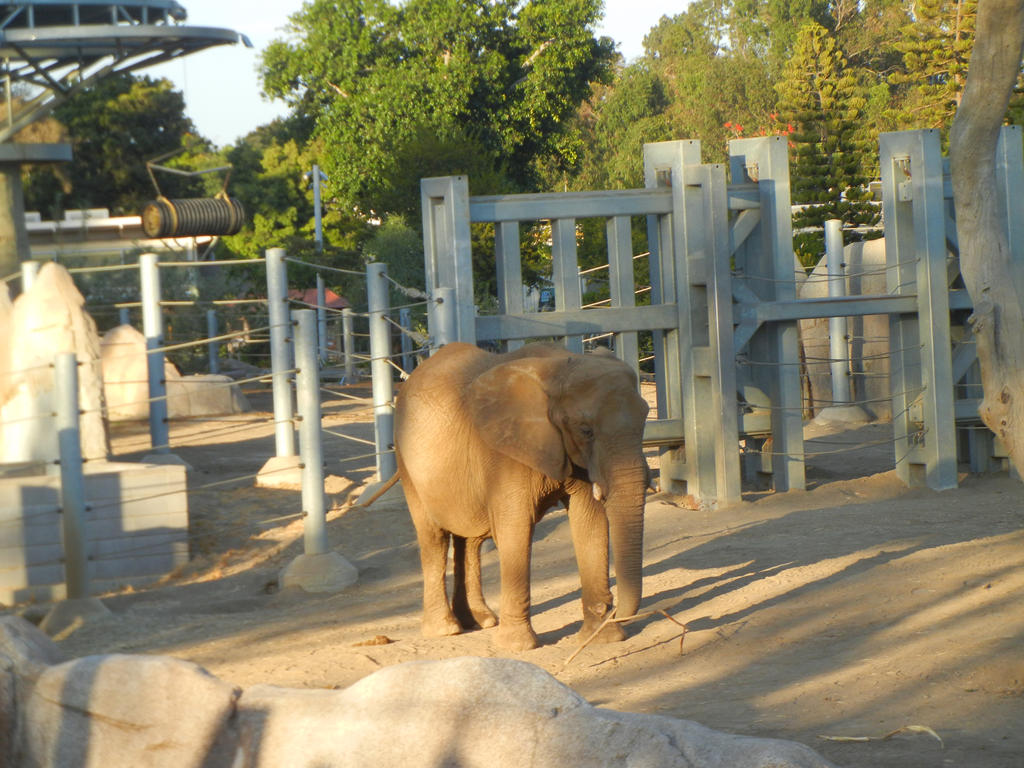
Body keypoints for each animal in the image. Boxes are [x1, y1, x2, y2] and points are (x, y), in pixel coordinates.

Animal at [391, 346, 647, 651]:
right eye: (586, 430)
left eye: (646, 418)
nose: (610, 609)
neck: (557, 367)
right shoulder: (504, 455)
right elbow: (516, 528)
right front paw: (517, 646)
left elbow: (589, 521)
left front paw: (600, 638)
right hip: (406, 461)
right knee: (434, 537)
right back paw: (446, 630)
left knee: (470, 540)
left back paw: (480, 621)